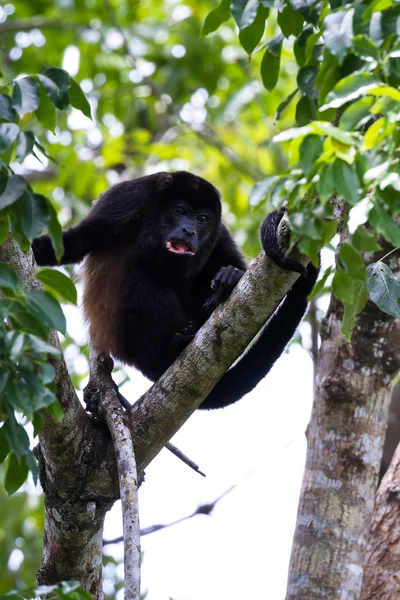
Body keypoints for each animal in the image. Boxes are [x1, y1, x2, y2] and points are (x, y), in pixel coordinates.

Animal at [32, 171, 318, 410]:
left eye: (202, 219)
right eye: (180, 211)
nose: (189, 230)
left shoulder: (217, 231)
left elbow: (242, 271)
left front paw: (231, 275)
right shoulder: (124, 200)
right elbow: (78, 240)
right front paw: (37, 248)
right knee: (141, 276)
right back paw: (168, 350)